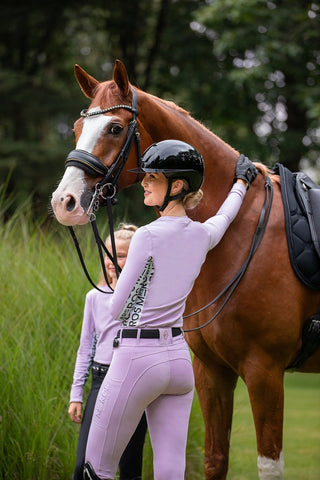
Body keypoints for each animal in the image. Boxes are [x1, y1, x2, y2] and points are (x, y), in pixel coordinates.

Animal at [51, 61, 318, 480]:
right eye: (78, 128)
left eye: (114, 128)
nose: (65, 201)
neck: (240, 232)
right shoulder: (211, 371)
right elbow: (215, 459)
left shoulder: (265, 371)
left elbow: (269, 465)